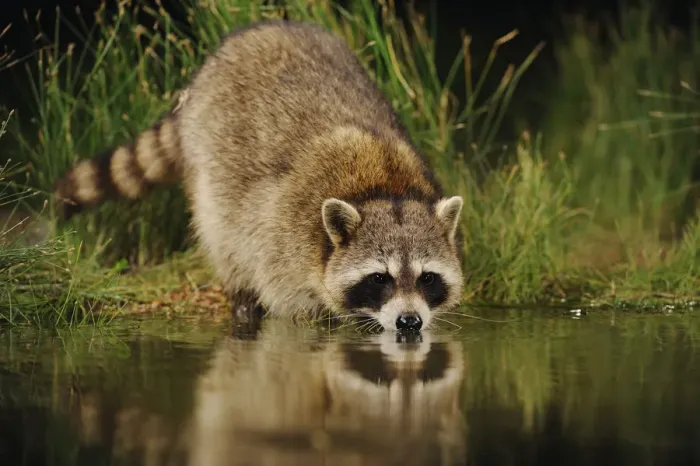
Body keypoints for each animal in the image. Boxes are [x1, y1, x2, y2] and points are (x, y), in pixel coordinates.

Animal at [53, 20, 465, 332]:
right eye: (380, 278)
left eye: (427, 278)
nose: (409, 322)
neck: (385, 185)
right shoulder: (285, 238)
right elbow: (291, 303)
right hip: (211, 161)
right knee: (224, 235)